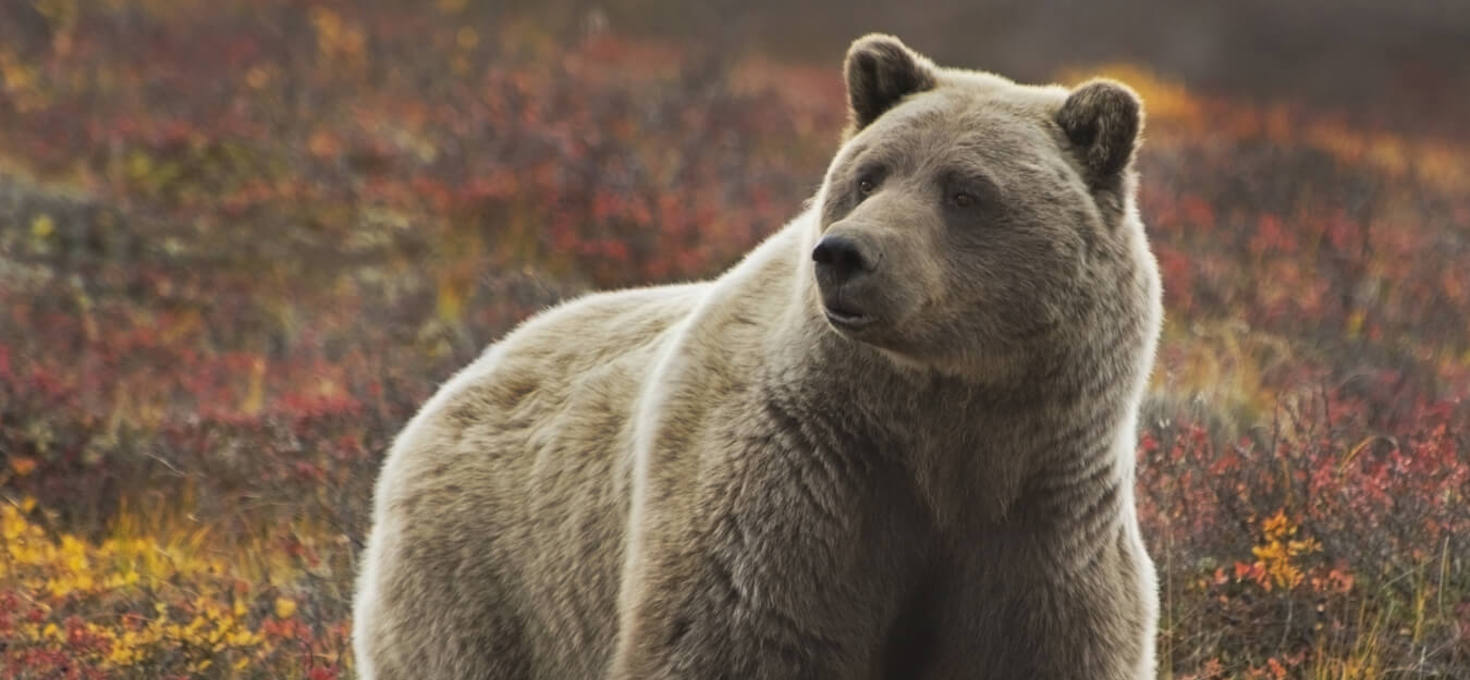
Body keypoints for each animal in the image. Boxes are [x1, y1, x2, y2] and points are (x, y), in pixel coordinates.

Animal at [352, 33, 1158, 680]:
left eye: (965, 191)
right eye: (869, 175)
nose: (844, 254)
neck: (943, 421)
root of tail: (466, 375)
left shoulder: (1039, 517)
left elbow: (1039, 644)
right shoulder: (801, 485)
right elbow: (737, 638)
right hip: (488, 583)